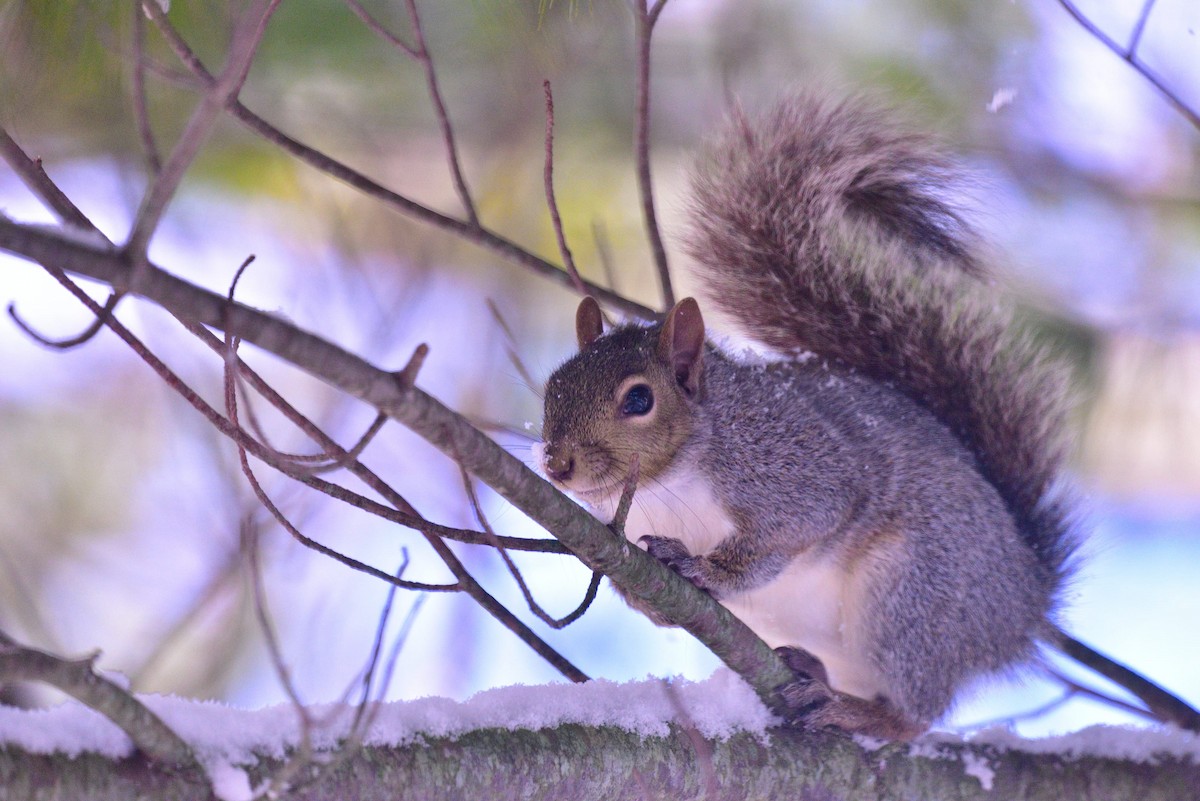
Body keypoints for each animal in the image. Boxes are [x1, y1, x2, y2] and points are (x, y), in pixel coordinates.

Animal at [536, 91, 1198, 738]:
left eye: (639, 400)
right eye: (552, 387)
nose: (556, 464)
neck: (668, 483)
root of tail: (1024, 604)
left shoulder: (788, 464)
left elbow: (798, 524)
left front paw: (704, 566)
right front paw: (644, 595)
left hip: (914, 595)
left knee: (914, 716)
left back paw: (859, 711)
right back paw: (815, 672)